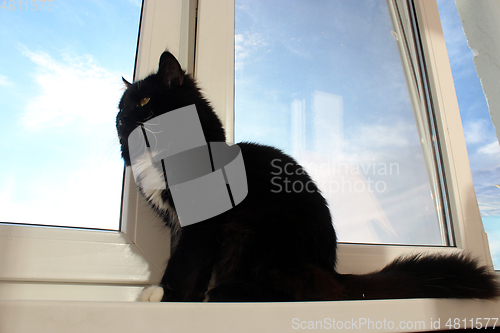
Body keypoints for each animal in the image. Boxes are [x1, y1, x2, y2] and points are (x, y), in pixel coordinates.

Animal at [116, 51, 496, 300]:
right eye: (120, 108)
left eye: (145, 101)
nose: (120, 120)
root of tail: (332, 271)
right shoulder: (179, 225)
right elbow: (187, 260)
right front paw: (182, 297)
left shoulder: (205, 224)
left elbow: (185, 262)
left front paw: (164, 295)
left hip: (255, 234)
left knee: (293, 291)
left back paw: (228, 292)